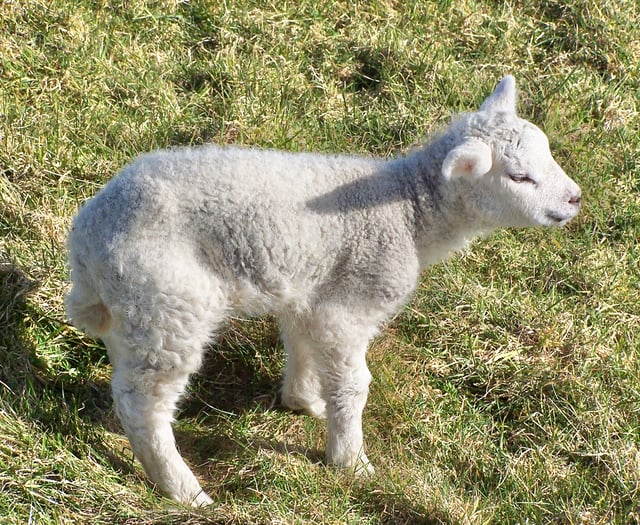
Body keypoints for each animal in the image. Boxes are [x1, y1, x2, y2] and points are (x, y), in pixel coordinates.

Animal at [66, 76, 581, 506]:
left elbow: (302, 345)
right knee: (143, 403)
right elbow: (353, 385)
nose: (575, 199)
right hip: (170, 302)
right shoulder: (351, 302)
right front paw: (350, 462)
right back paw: (184, 490)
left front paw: (303, 401)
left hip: (135, 309)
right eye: (519, 177)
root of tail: (88, 236)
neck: (410, 211)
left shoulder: (309, 290)